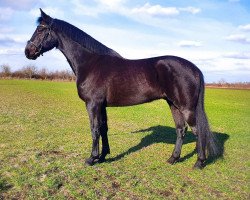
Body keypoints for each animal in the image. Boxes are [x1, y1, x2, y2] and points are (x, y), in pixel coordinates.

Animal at [24, 9, 218, 169]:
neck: (90, 63)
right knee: (181, 130)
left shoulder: (92, 104)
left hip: (186, 107)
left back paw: (199, 162)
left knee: (197, 131)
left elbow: (94, 129)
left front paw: (91, 158)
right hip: (173, 104)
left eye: (40, 29)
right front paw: (103, 156)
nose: (28, 51)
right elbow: (103, 128)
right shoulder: (101, 106)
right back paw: (173, 158)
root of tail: (195, 69)